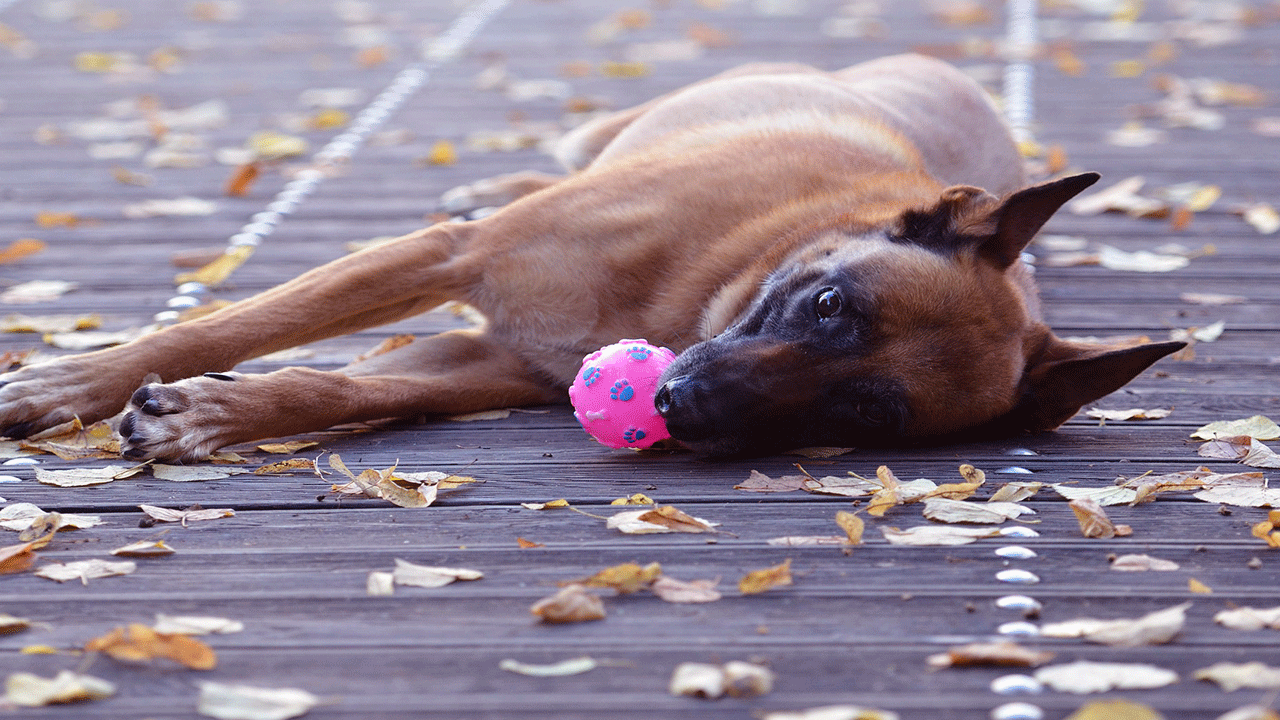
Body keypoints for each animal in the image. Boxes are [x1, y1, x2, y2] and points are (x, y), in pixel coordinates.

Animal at [0, 56, 1177, 458]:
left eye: (864, 413)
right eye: (829, 306)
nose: (683, 405)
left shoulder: (480, 361)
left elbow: (336, 387)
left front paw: (215, 412)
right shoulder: (446, 256)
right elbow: (240, 322)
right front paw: (67, 386)